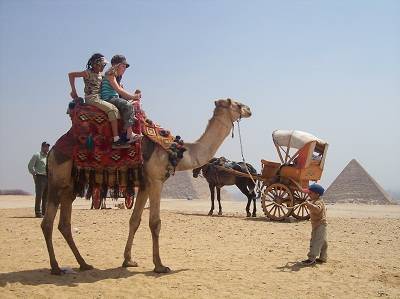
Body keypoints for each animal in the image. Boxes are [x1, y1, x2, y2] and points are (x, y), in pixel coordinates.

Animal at [41, 99, 253, 276]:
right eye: (236, 103)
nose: (249, 109)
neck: (178, 152)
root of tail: (52, 151)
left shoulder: (144, 185)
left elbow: (134, 221)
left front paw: (128, 260)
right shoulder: (156, 181)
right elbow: (155, 223)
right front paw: (160, 265)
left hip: (70, 185)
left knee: (64, 224)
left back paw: (84, 264)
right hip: (57, 180)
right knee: (47, 223)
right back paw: (56, 267)